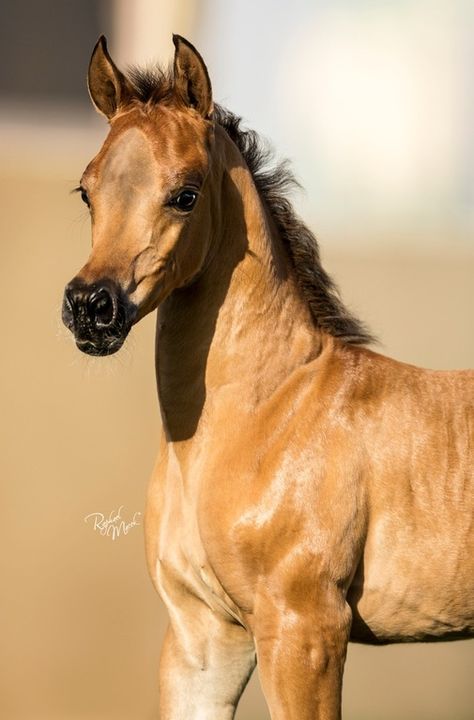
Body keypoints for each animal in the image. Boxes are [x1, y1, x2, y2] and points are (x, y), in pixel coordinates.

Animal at [64, 35, 474, 720]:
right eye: (87, 191)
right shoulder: (202, 640)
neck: (267, 415)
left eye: (186, 194)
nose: (92, 307)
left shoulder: (305, 631)